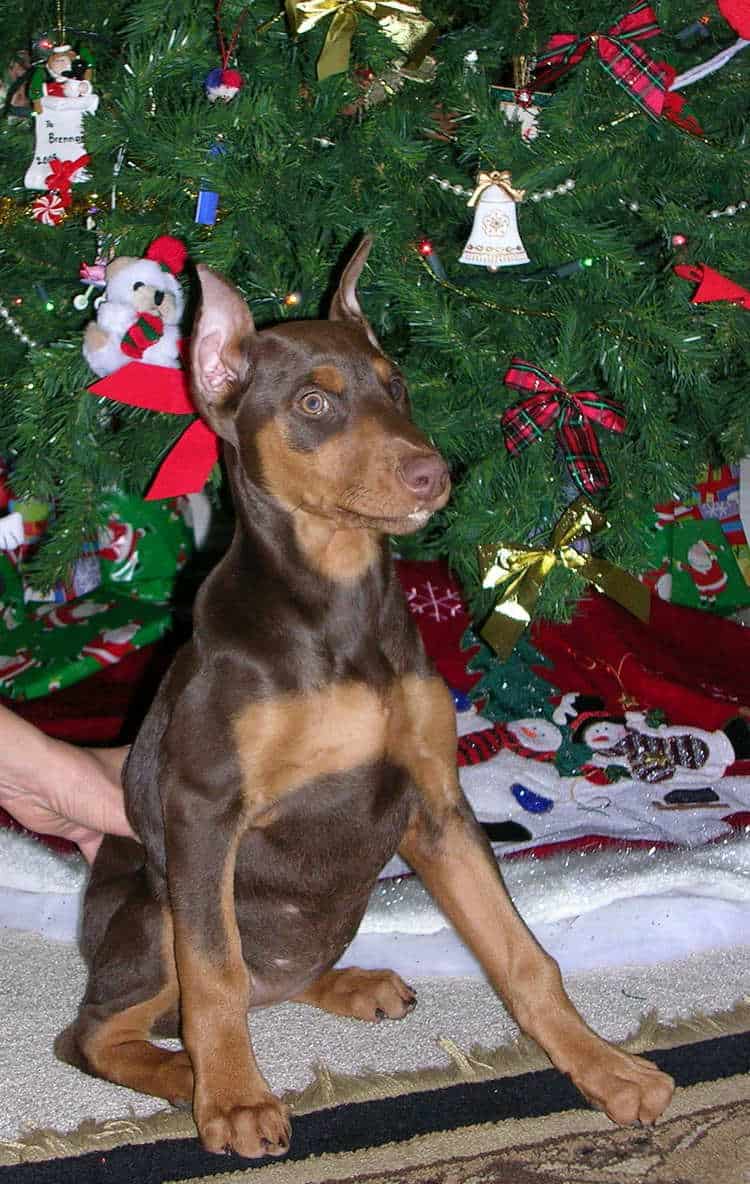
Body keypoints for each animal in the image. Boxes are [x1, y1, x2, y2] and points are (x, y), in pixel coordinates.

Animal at [59, 237, 672, 1155]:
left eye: (398, 385)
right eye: (314, 401)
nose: (432, 475)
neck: (338, 601)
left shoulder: (435, 801)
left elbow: (524, 957)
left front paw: (607, 1069)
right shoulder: (203, 809)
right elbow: (214, 973)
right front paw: (232, 1101)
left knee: (269, 979)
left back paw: (348, 985)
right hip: (153, 911)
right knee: (105, 1027)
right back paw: (189, 1082)